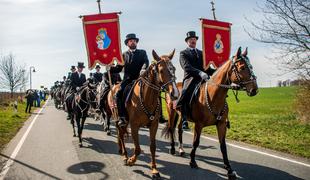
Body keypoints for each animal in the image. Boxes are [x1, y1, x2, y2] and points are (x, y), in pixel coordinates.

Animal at [110, 49, 179, 179]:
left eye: (174, 68)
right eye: (161, 70)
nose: (175, 94)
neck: (146, 98)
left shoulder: (154, 125)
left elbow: (152, 147)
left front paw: (154, 170)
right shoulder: (134, 125)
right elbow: (137, 149)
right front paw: (131, 161)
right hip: (120, 120)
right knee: (121, 135)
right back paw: (125, 156)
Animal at [161, 47, 258, 179]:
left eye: (251, 66)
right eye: (242, 67)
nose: (255, 90)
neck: (213, 95)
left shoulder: (221, 124)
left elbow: (223, 146)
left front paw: (229, 169)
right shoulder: (199, 125)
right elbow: (196, 142)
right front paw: (192, 161)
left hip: (181, 115)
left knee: (180, 129)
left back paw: (181, 149)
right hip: (171, 112)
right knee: (172, 128)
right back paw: (172, 149)